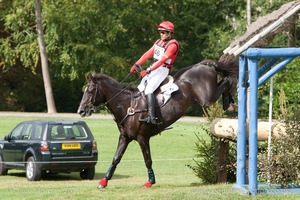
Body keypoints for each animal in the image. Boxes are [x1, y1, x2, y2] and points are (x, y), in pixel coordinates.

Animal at [78, 57, 239, 188]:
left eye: (90, 90)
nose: (81, 111)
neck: (127, 105)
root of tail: (203, 65)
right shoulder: (125, 137)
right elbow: (116, 158)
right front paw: (104, 181)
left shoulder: (142, 138)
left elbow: (147, 160)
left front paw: (150, 181)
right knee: (223, 80)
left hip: (207, 99)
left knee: (226, 81)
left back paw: (229, 101)